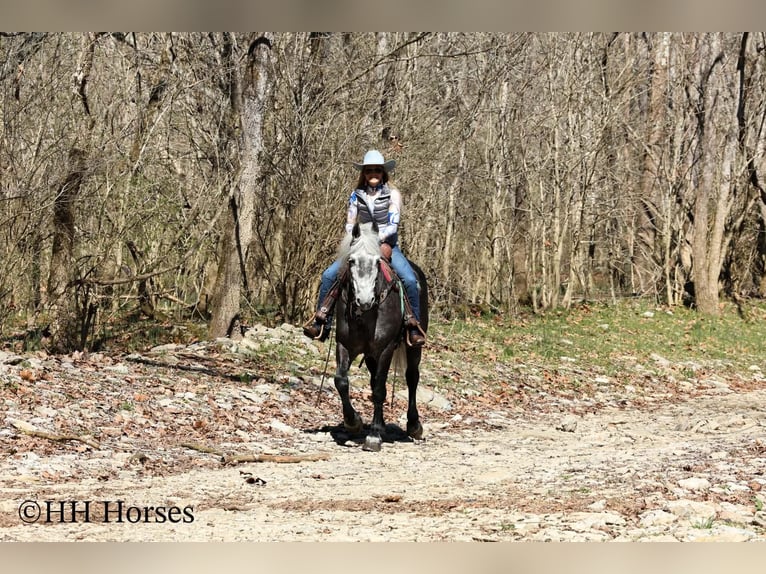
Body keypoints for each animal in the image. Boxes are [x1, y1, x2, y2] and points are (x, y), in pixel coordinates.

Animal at [332, 221, 429, 452]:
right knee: (374, 377)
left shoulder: (385, 348)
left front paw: (374, 436)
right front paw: (353, 422)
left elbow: (378, 390)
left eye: (377, 262)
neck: (365, 315)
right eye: (351, 260)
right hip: (370, 356)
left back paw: (414, 425)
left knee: (412, 377)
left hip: (413, 347)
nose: (365, 300)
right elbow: (341, 381)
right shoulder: (344, 345)